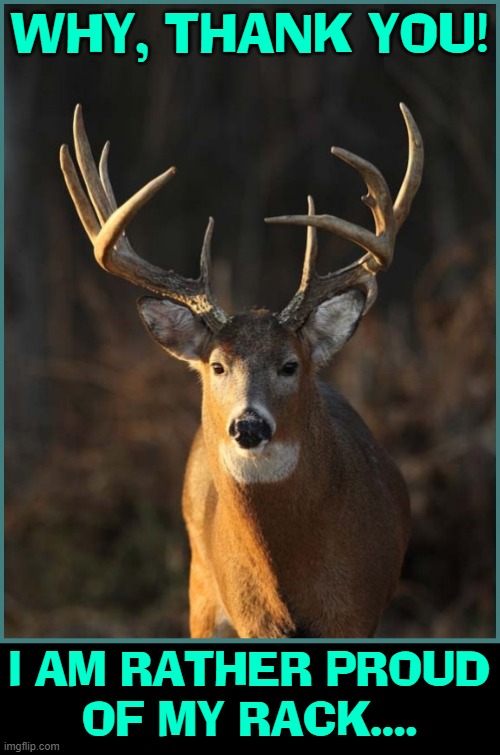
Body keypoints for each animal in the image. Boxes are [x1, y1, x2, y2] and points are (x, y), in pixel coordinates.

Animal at [60, 103, 423, 638]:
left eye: (290, 365)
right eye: (217, 365)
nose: (248, 425)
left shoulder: (356, 613)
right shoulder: (251, 617)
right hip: (201, 589)